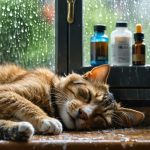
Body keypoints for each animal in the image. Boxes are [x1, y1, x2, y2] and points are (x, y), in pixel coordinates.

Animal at [0, 63, 144, 141]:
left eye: (100, 117)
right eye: (87, 95)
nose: (83, 113)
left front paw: (18, 128)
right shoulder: (5, 91)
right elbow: (27, 104)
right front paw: (47, 119)